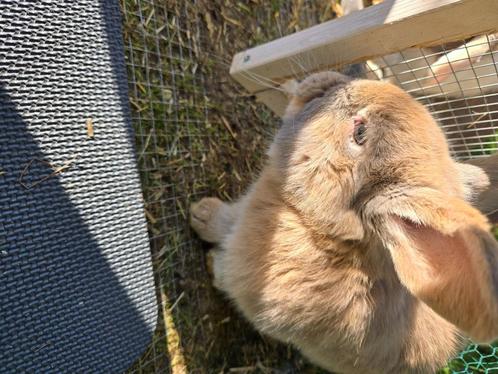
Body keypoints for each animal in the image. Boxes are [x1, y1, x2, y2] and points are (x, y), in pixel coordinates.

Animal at [192, 71, 498, 374]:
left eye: (359, 132)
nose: (335, 80)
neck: (317, 228)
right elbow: (225, 220)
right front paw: (202, 214)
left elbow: (224, 270)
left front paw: (208, 257)